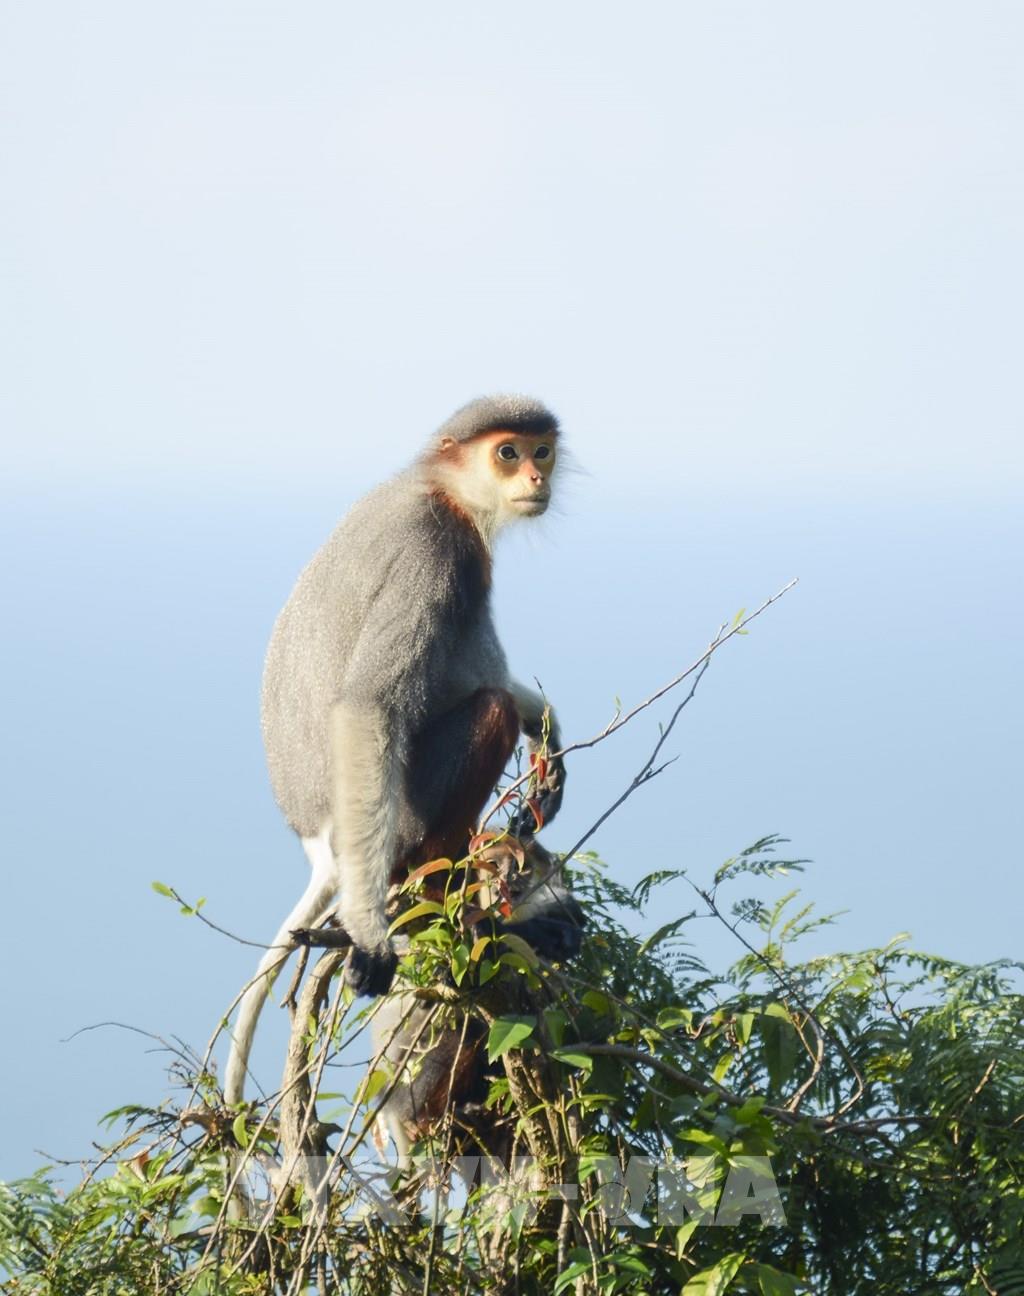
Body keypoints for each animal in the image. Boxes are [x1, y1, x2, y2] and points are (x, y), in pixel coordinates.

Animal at [224, 395, 567, 1108]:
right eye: (507, 453)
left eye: (542, 451)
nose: (534, 477)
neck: (442, 488)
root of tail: (322, 846)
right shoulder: (440, 551)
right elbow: (371, 707)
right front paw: (371, 932)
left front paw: (547, 730)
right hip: (405, 812)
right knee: (485, 706)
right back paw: (445, 893)